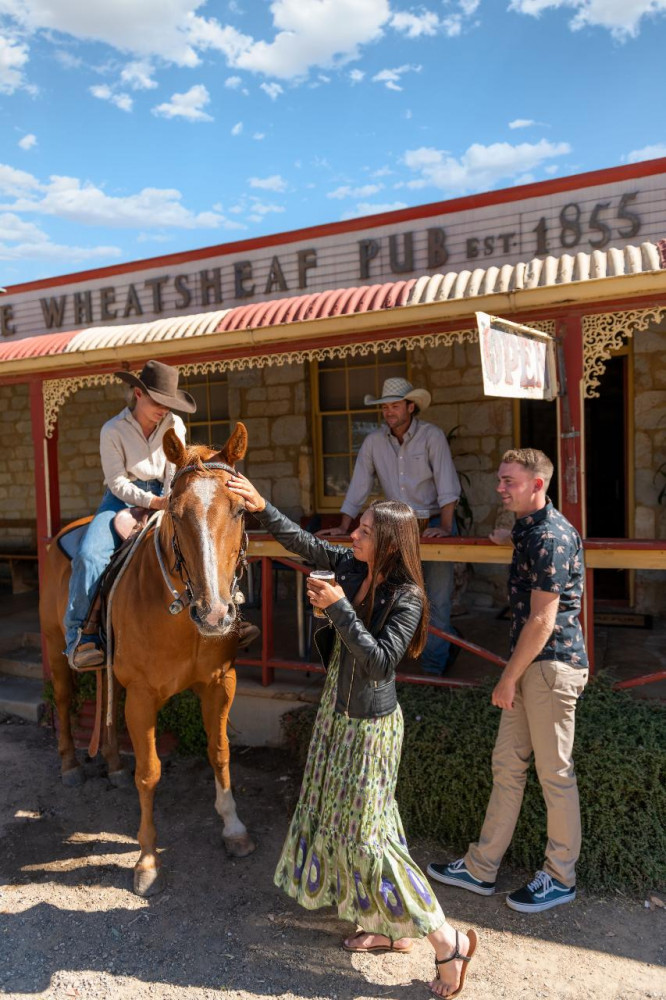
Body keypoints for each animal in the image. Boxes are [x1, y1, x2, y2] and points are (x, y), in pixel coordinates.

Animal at [39, 418, 255, 896]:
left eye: (239, 510)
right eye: (175, 512)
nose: (215, 614)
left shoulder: (220, 683)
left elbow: (220, 753)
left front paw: (234, 829)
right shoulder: (143, 697)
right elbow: (151, 772)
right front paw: (147, 860)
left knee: (107, 702)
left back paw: (113, 764)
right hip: (54, 648)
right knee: (63, 701)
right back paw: (69, 766)